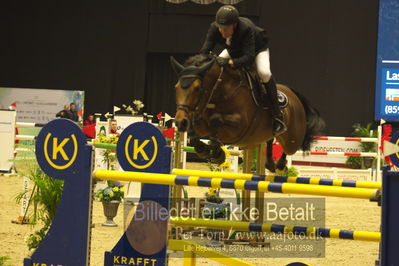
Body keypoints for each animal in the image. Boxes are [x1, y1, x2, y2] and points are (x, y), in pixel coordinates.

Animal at [171, 54, 324, 172]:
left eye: (197, 88)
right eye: (176, 87)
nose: (180, 122)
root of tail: (293, 94)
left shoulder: (239, 127)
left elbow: (216, 121)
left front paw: (217, 153)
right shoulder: (202, 124)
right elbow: (195, 136)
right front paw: (206, 149)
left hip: (293, 139)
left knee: (289, 149)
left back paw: (280, 165)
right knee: (270, 139)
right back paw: (270, 164)